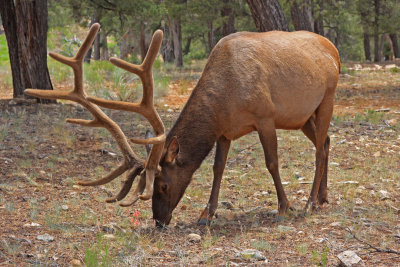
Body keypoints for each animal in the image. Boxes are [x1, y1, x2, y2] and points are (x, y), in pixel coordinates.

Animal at [25, 23, 340, 228]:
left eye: (162, 185)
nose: (159, 221)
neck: (224, 99)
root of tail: (334, 49)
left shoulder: (265, 116)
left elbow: (272, 162)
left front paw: (284, 207)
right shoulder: (225, 131)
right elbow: (217, 169)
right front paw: (206, 214)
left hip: (327, 97)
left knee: (319, 149)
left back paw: (310, 203)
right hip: (303, 116)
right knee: (326, 142)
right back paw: (323, 197)